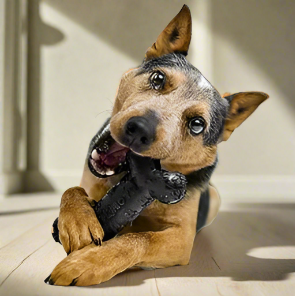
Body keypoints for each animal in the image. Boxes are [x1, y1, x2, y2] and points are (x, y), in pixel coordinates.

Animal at [45, 4, 268, 286]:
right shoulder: (89, 183)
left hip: (214, 198)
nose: (139, 130)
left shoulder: (180, 238)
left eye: (197, 124)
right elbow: (72, 190)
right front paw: (77, 222)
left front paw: (88, 262)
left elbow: (139, 238)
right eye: (158, 78)